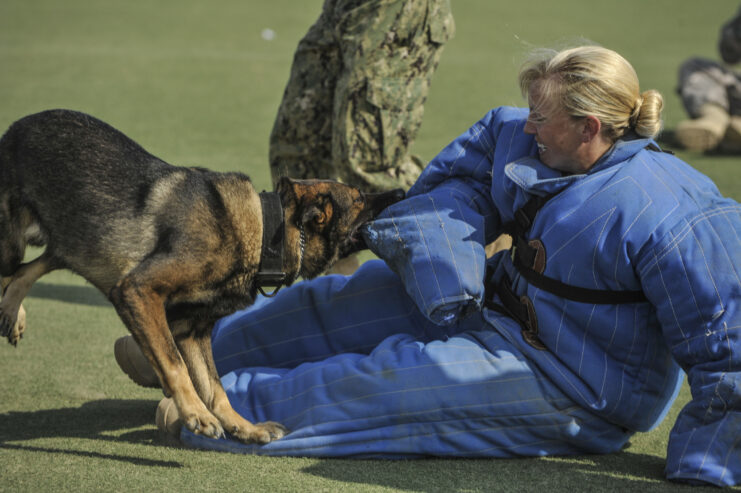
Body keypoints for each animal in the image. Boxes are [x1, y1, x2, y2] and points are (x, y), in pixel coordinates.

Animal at [0, 110, 404, 442]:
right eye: (359, 198)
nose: (401, 189)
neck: (263, 231)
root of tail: (15, 127)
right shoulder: (138, 291)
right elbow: (175, 365)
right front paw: (196, 414)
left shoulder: (191, 331)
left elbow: (214, 385)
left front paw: (243, 426)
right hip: (15, 241)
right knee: (12, 270)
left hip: (76, 241)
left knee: (28, 269)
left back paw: (12, 311)